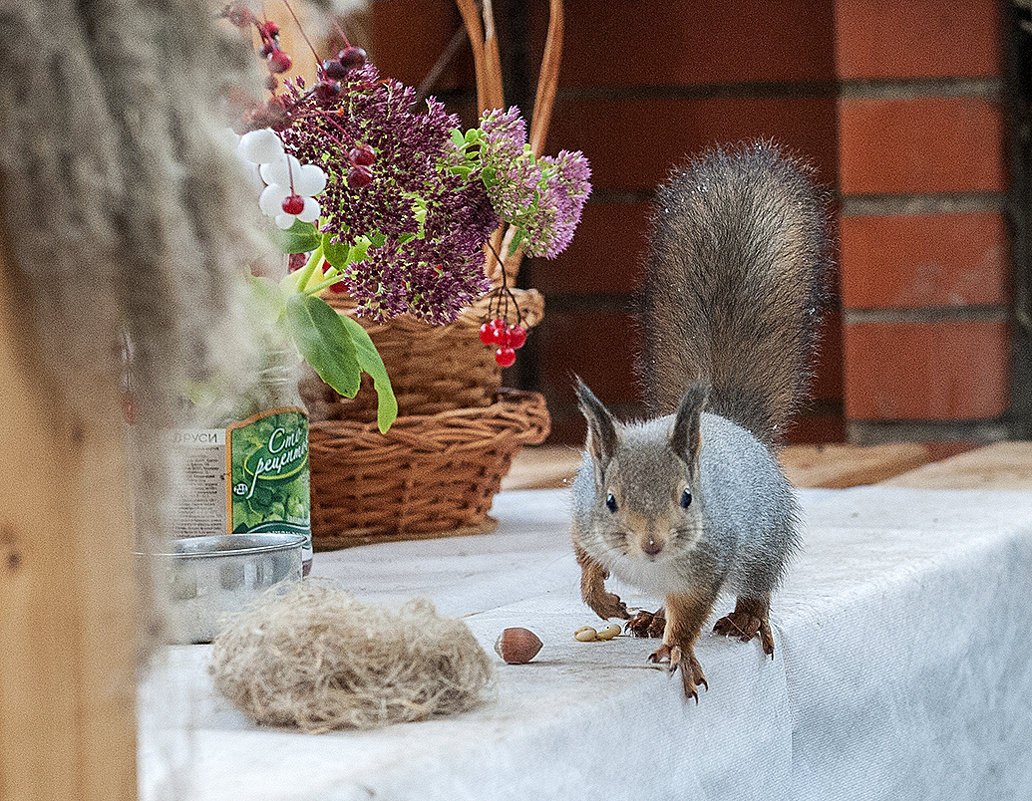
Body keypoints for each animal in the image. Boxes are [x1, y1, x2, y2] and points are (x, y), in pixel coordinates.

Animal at [573, 142, 829, 701]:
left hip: (765, 542)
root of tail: (732, 426)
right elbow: (585, 565)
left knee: (758, 584)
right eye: (610, 500)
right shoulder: (583, 523)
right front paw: (602, 601)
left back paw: (747, 617)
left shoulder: (707, 563)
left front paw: (678, 650)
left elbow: (691, 614)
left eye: (688, 497)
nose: (652, 543)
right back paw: (649, 616)